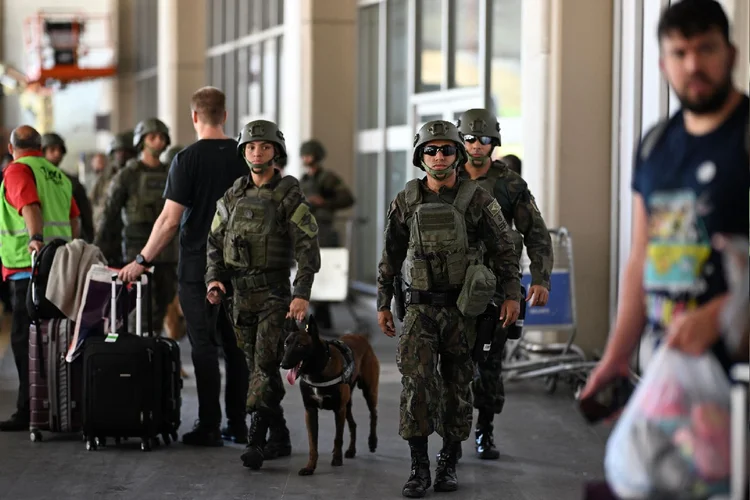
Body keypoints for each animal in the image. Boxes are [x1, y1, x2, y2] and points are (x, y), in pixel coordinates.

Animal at [280, 316, 378, 476]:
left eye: (300, 345)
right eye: (285, 344)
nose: (283, 364)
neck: (318, 369)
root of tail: (361, 336)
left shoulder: (338, 410)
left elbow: (338, 437)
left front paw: (337, 459)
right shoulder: (310, 411)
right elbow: (313, 443)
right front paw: (310, 466)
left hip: (369, 392)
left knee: (373, 414)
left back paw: (372, 441)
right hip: (347, 404)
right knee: (353, 424)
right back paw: (351, 450)